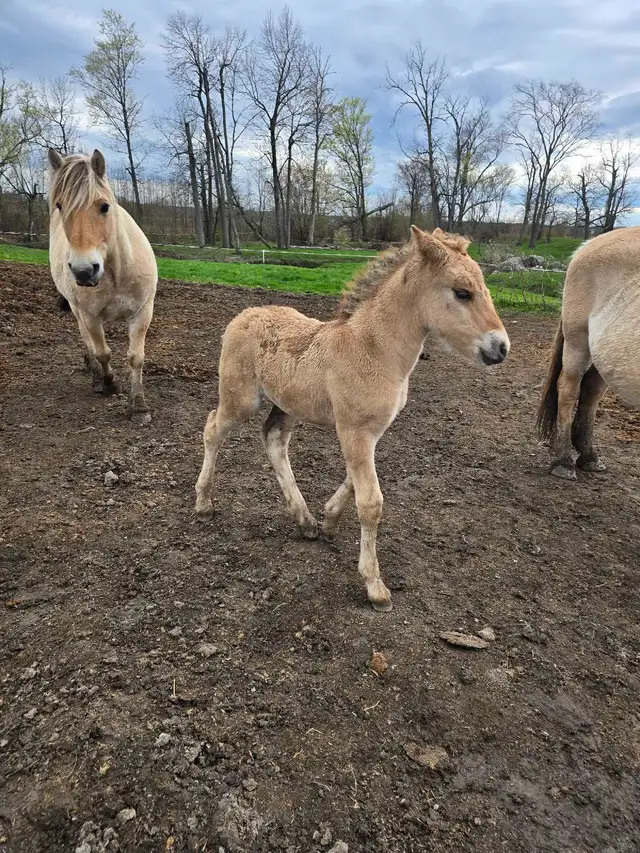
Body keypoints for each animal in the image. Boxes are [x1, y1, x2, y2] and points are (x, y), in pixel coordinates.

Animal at [47, 148, 157, 424]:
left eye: (104, 206)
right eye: (60, 206)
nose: (84, 271)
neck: (116, 273)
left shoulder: (142, 312)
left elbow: (136, 358)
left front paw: (139, 407)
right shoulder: (90, 315)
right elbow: (102, 352)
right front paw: (109, 384)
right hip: (77, 310)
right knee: (88, 341)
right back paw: (96, 376)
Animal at [195, 226, 510, 612]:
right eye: (462, 292)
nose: (501, 348)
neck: (374, 349)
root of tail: (243, 315)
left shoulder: (370, 432)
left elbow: (354, 481)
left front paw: (329, 520)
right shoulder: (354, 430)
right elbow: (371, 502)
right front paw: (375, 585)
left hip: (287, 405)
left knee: (273, 439)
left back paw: (304, 520)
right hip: (240, 399)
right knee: (213, 429)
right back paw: (203, 504)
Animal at [537, 227, 640, 480]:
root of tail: (587, 245)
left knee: (591, 390)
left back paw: (588, 455)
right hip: (578, 342)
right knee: (568, 389)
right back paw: (564, 461)